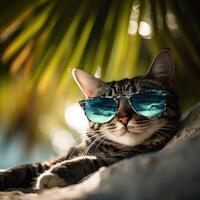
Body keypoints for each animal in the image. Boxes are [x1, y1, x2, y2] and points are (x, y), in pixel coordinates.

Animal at [0, 48, 180, 191]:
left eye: (145, 101)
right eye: (106, 105)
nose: (124, 119)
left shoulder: (127, 156)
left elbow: (91, 161)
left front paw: (54, 174)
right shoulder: (64, 155)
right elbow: (25, 167)